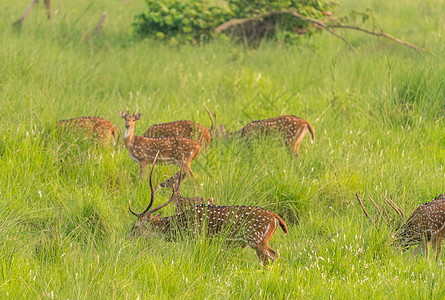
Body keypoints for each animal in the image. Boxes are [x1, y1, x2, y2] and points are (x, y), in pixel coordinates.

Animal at [129, 154, 288, 266]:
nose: (128, 237)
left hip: (257, 240)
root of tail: (275, 217)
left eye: (135, 227)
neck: (180, 226)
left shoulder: (195, 238)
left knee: (274, 256)